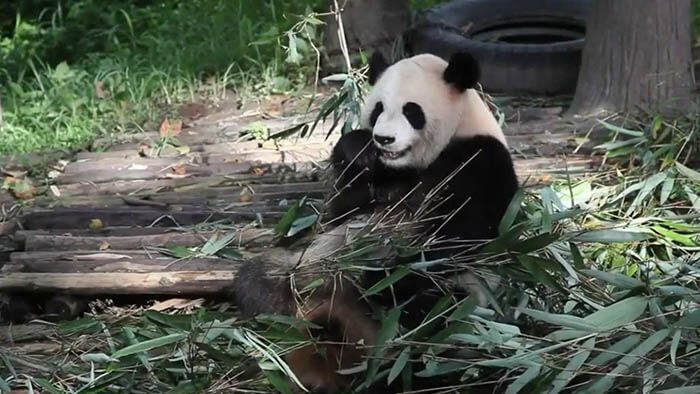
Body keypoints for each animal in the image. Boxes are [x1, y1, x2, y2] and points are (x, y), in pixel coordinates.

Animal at [231, 50, 520, 392]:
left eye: (412, 111)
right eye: (379, 108)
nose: (384, 138)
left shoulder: (481, 161)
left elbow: (456, 236)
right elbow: (341, 212)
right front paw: (359, 150)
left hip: (464, 299)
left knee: (432, 311)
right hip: (300, 272)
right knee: (262, 281)